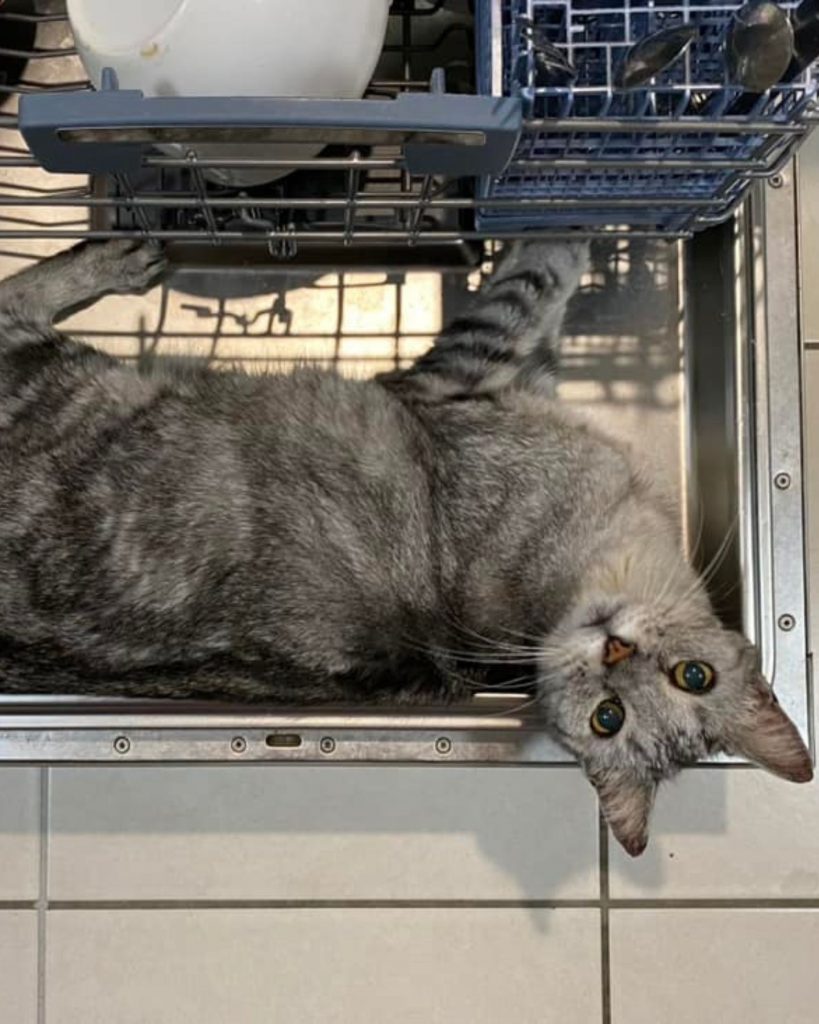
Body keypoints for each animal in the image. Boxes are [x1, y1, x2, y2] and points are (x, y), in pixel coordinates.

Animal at [0, 235, 810, 851]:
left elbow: (526, 287)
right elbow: (539, 294)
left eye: (606, 719)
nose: (614, 650)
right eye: (694, 676)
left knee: (13, 296)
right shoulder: (488, 374)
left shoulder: (463, 377)